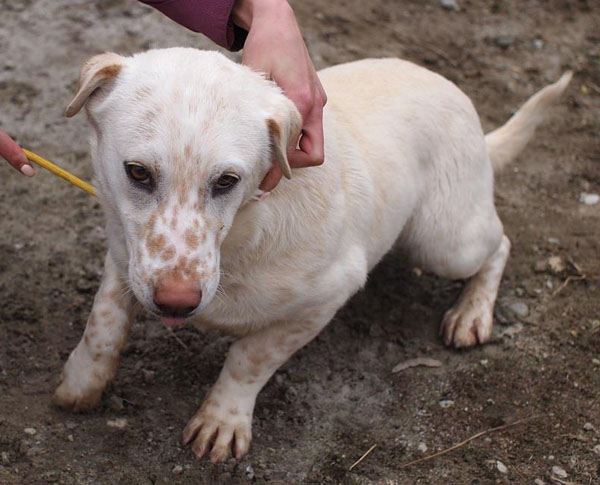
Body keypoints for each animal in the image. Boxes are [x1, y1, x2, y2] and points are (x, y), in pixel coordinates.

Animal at [52, 48, 572, 462]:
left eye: (227, 181)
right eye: (137, 172)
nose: (176, 303)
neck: (240, 236)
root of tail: (467, 111)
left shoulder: (326, 298)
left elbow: (250, 357)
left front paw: (223, 418)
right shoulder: (126, 256)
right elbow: (103, 322)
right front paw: (82, 381)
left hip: (444, 241)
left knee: (500, 243)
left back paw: (472, 312)